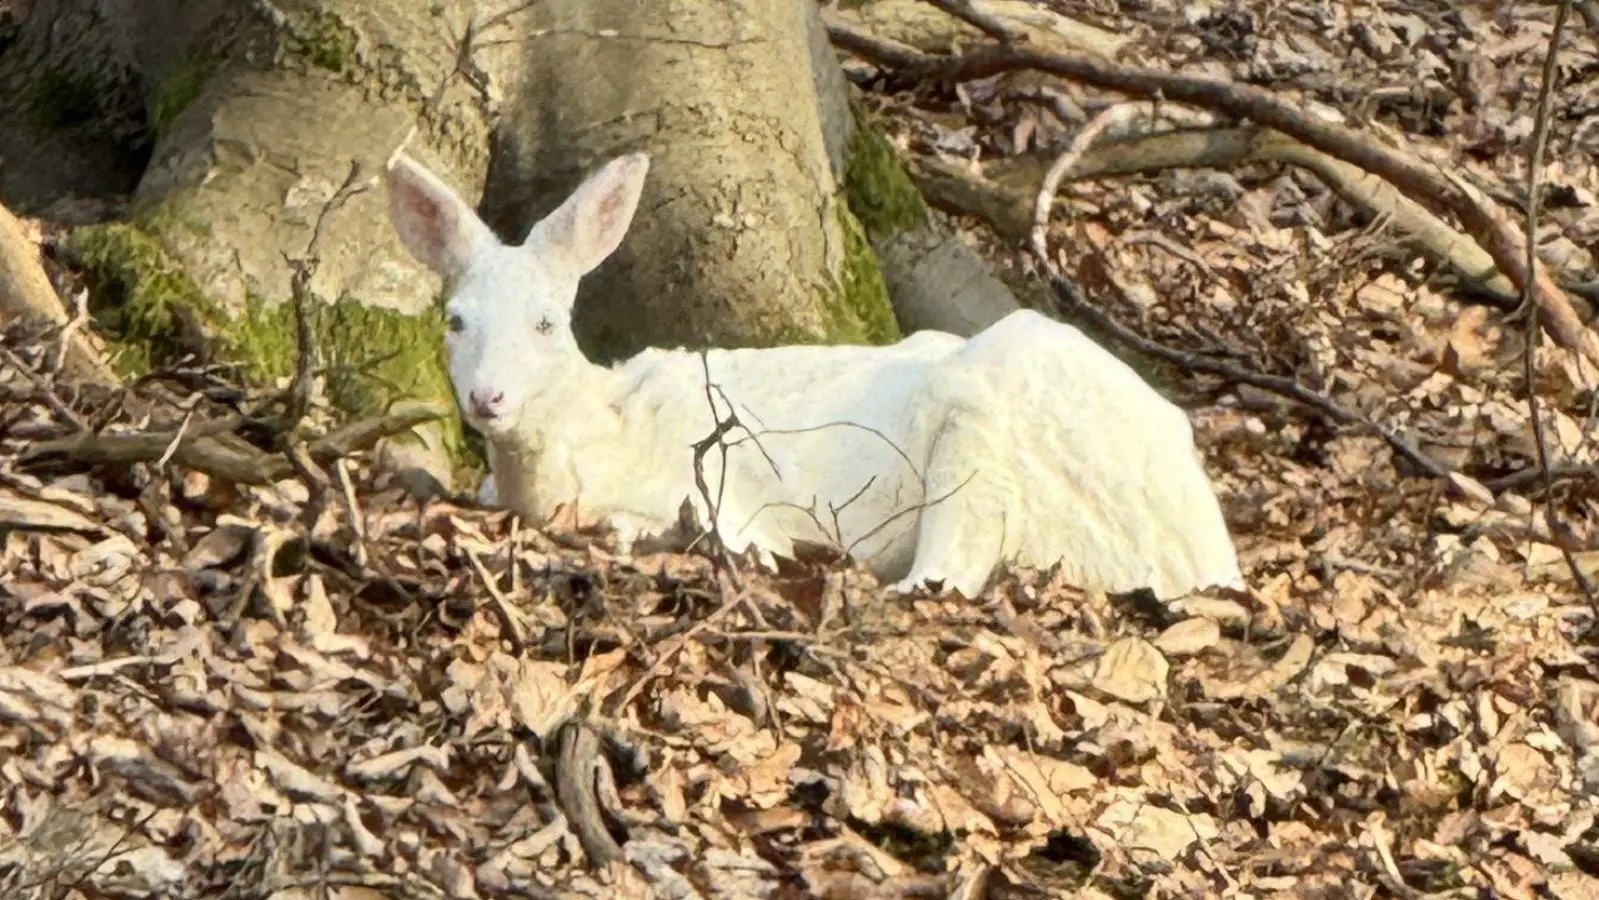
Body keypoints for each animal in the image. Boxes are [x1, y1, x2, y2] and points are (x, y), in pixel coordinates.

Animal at [383, 149, 1244, 600]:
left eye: (546, 323)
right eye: (455, 321)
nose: (488, 398)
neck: (593, 437)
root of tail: (1203, 552)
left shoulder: (720, 497)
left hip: (986, 439)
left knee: (949, 572)